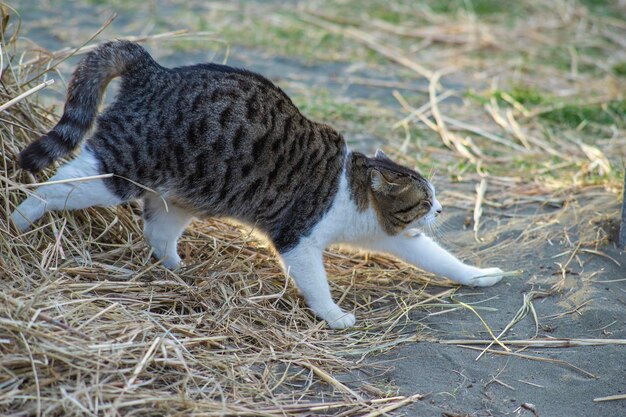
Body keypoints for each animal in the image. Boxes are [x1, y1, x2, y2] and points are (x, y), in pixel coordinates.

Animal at [11, 41, 502, 328]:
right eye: (425, 201)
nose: (441, 211)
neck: (358, 197)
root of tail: (156, 70)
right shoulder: (298, 239)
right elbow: (317, 286)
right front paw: (335, 317)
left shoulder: (392, 237)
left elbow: (440, 259)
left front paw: (478, 276)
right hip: (119, 168)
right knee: (56, 185)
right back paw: (19, 219)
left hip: (181, 197)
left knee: (157, 231)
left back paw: (177, 269)